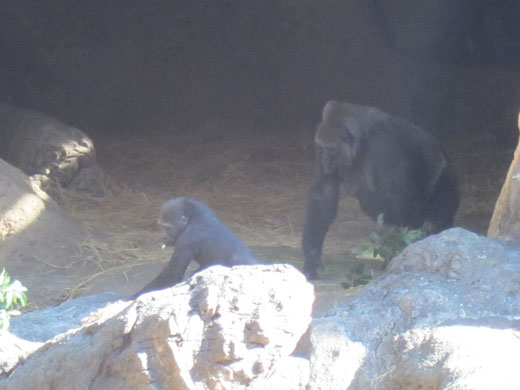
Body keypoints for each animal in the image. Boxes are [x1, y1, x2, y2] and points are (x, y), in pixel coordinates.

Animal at [300, 100, 460, 280]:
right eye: (322, 148)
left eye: (331, 149)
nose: (325, 159)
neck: (361, 140)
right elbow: (323, 193)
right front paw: (312, 257)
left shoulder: (384, 142)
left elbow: (402, 197)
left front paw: (404, 249)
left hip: (448, 182)